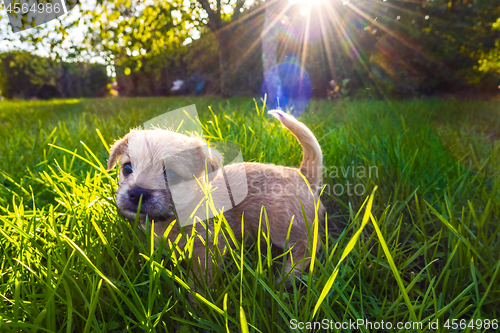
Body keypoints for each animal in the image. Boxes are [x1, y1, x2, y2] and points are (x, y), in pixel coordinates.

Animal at [106, 109, 324, 282]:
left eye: (172, 176)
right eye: (127, 168)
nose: (137, 193)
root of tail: (303, 174)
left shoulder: (207, 250)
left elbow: (199, 283)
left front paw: (196, 304)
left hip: (280, 223)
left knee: (307, 247)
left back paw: (286, 277)